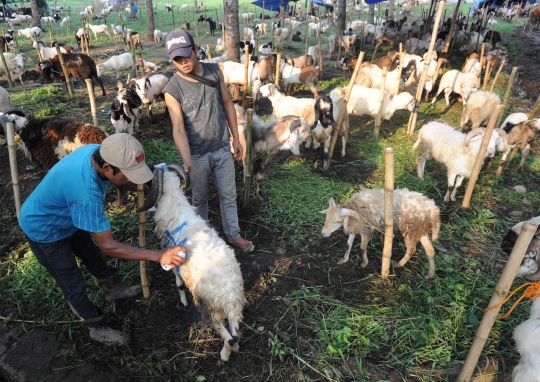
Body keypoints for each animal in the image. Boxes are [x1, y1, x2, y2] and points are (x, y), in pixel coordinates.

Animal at [138, 165, 246, 362]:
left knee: (228, 336)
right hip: (234, 308)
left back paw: (224, 356)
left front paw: (183, 303)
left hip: (208, 306)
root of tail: (228, 296)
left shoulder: (175, 264)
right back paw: (235, 349)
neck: (174, 204)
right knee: (235, 333)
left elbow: (179, 285)